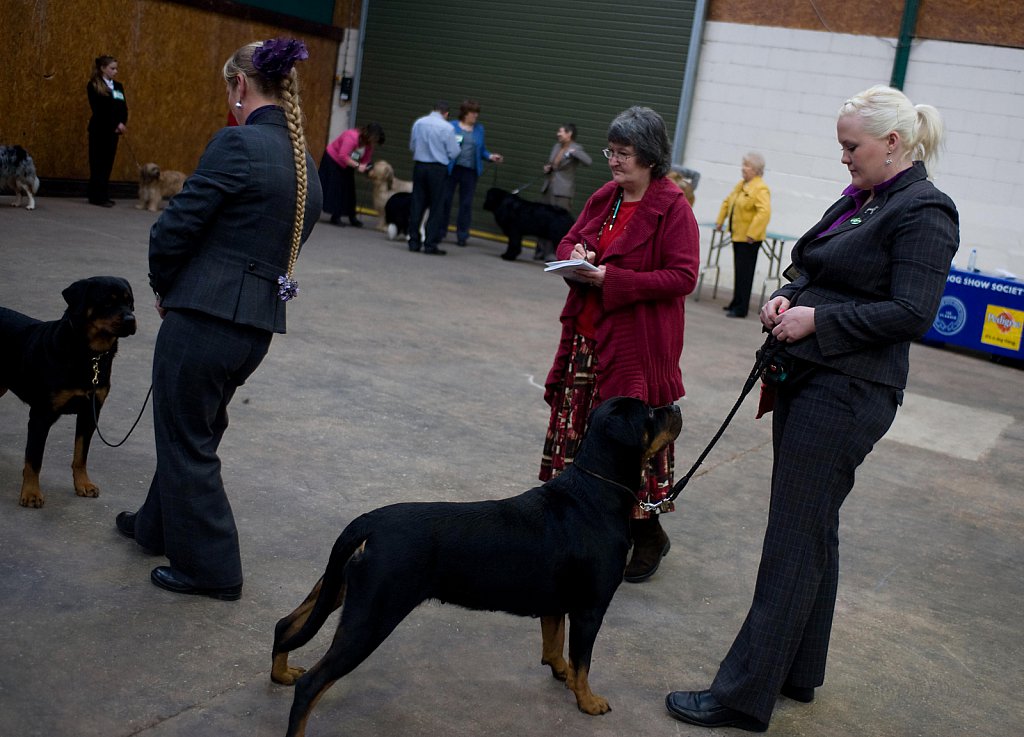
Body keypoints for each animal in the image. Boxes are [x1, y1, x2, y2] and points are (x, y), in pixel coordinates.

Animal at [0, 276, 136, 507]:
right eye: (107, 302)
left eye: (130, 302)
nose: (130, 319)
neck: (89, 355)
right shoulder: (41, 415)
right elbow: (34, 459)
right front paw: (31, 493)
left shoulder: (90, 413)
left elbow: (81, 455)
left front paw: (83, 484)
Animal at [272, 397, 679, 737]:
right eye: (649, 412)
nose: (674, 406)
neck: (596, 492)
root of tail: (368, 522)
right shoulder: (589, 609)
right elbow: (583, 662)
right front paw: (588, 701)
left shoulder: (555, 604)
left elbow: (554, 643)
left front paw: (559, 671)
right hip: (372, 614)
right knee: (312, 684)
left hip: (338, 589)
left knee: (286, 625)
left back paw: (282, 673)